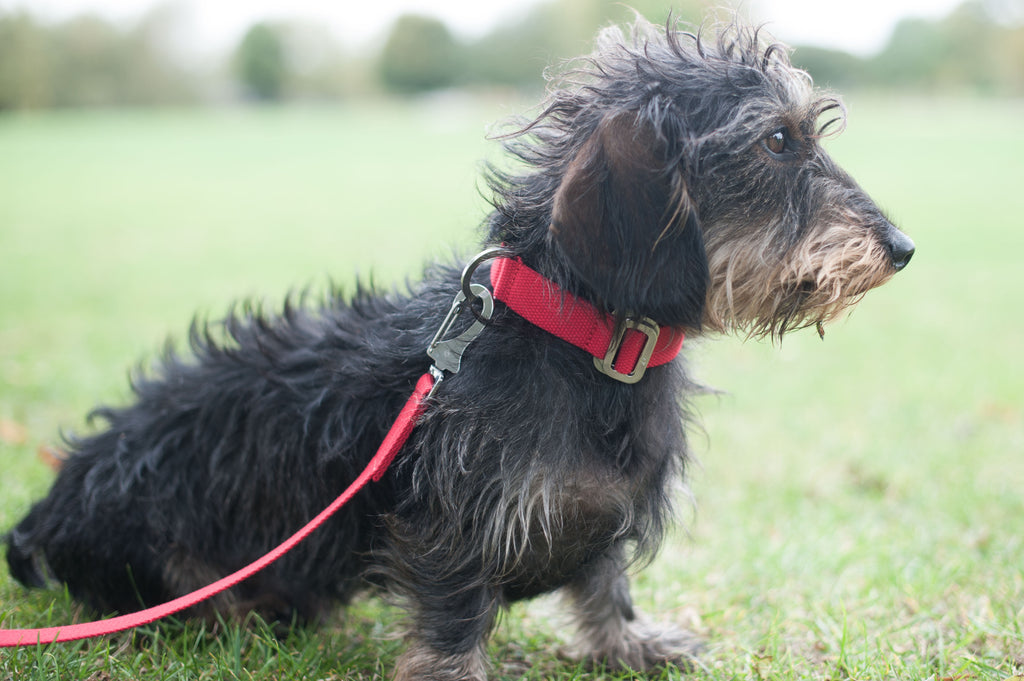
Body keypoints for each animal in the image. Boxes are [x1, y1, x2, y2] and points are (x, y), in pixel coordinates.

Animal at [4, 17, 917, 679]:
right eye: (777, 142)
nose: (904, 247)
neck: (577, 341)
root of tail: (53, 506)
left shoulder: (600, 519)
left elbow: (604, 583)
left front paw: (630, 641)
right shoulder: (446, 520)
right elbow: (452, 606)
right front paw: (455, 670)